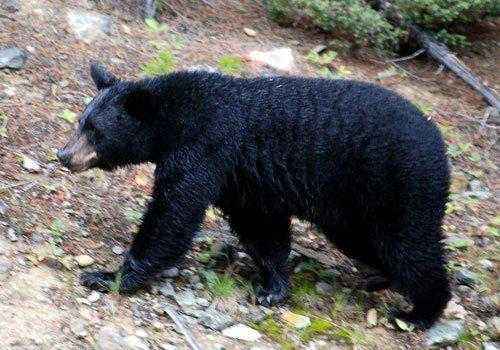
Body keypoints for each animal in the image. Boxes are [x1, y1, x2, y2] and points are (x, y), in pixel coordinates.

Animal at [56, 63, 452, 328]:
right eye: (81, 122)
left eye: (95, 130)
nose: (64, 154)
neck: (175, 120)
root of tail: (438, 141)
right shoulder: (243, 181)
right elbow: (261, 229)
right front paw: (273, 287)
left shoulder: (204, 150)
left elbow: (172, 216)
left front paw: (108, 276)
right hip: (352, 209)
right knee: (367, 243)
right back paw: (380, 279)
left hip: (398, 186)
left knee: (409, 247)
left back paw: (419, 312)